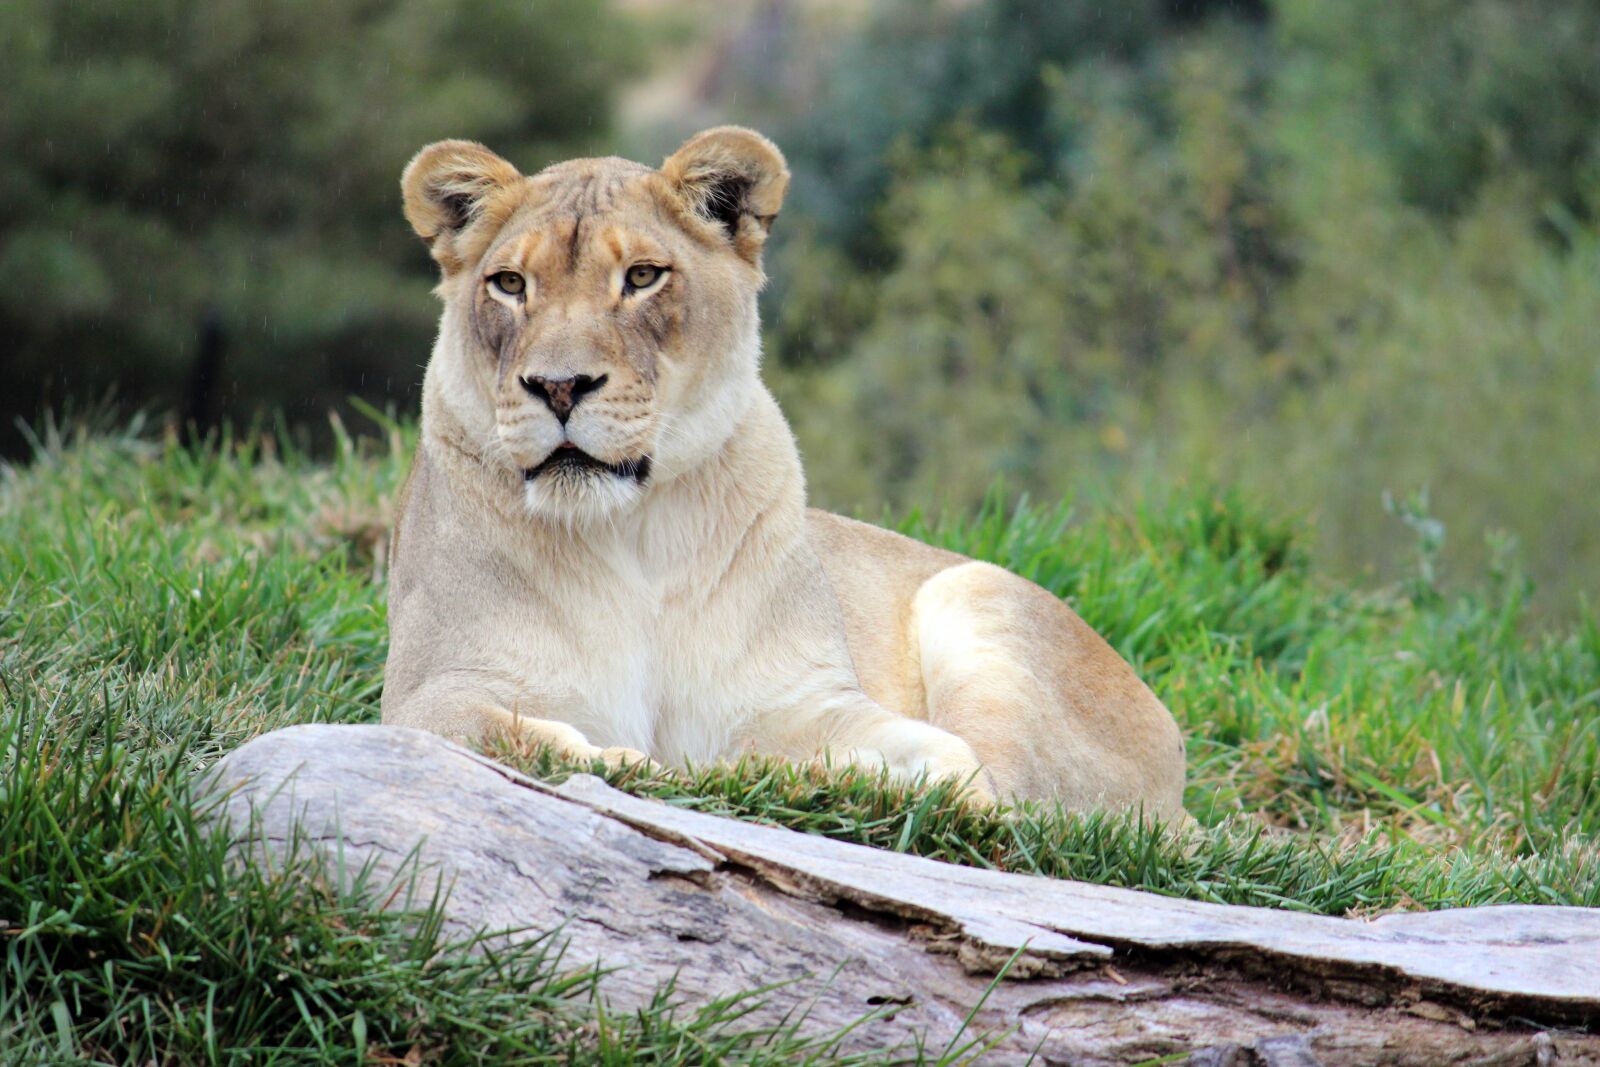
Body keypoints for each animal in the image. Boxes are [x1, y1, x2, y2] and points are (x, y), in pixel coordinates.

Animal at [381, 126, 1187, 816]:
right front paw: (651, 766)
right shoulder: (424, 696)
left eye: (641, 276)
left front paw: (821, 779)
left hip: (978, 596)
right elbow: (521, 734)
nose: (557, 386)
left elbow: (953, 764)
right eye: (510, 284)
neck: (631, 533)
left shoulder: (805, 699)